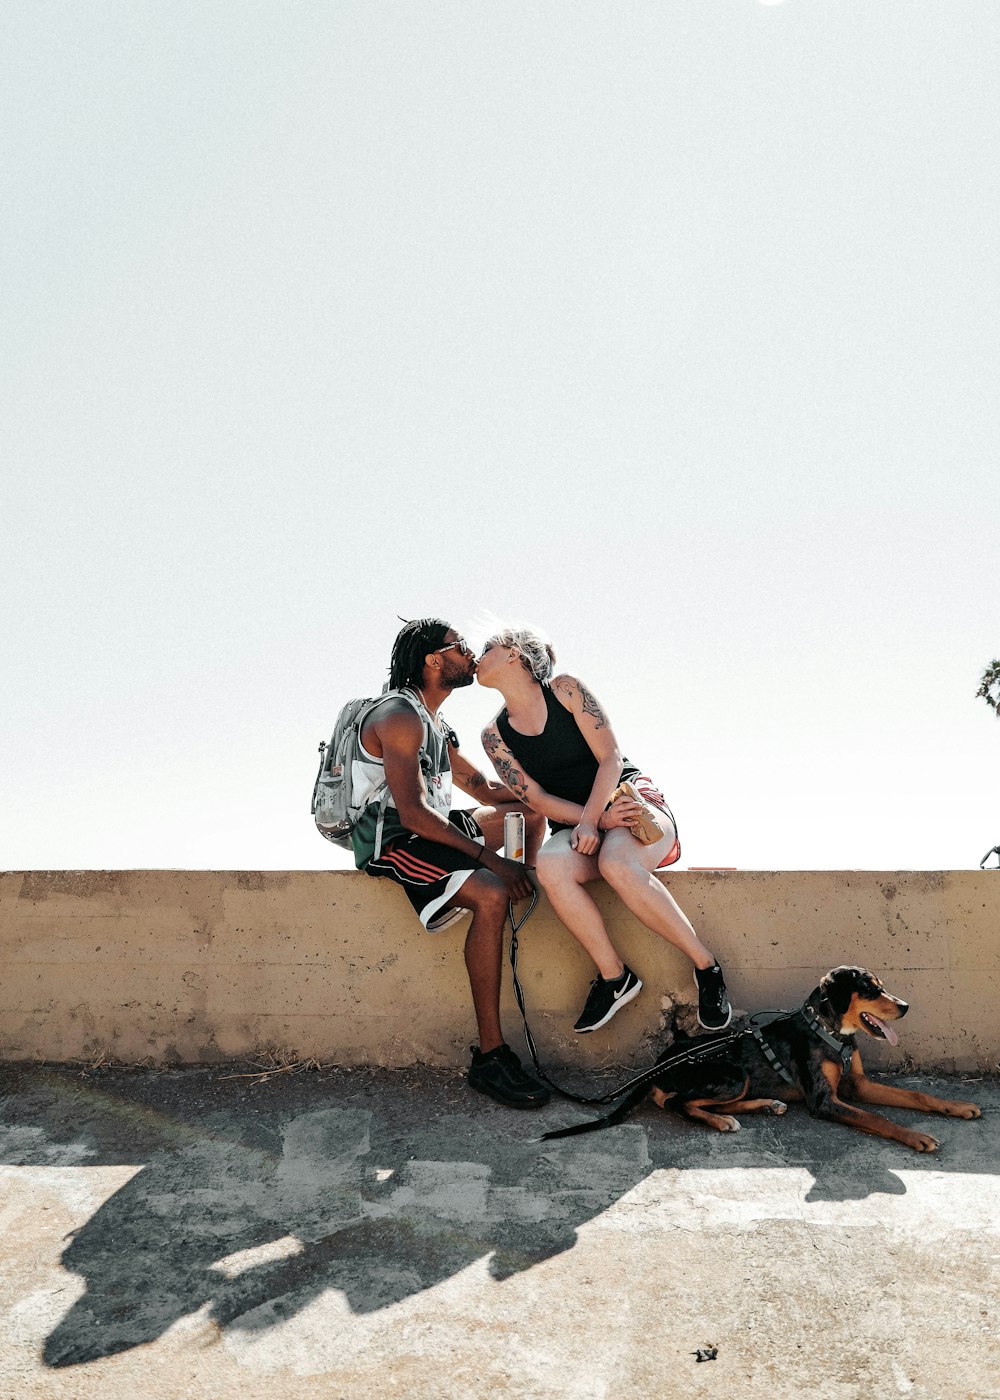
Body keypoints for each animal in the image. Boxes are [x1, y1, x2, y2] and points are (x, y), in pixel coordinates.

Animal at [540, 968, 980, 1153]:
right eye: (871, 990)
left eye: (882, 987)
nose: (905, 1007)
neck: (829, 1031)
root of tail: (657, 1065)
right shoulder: (825, 1100)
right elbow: (879, 1118)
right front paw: (916, 1137)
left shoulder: (858, 1084)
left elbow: (917, 1097)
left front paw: (958, 1106)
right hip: (731, 1072)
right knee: (679, 1103)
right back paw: (722, 1122)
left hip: (738, 1080)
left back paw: (766, 1105)